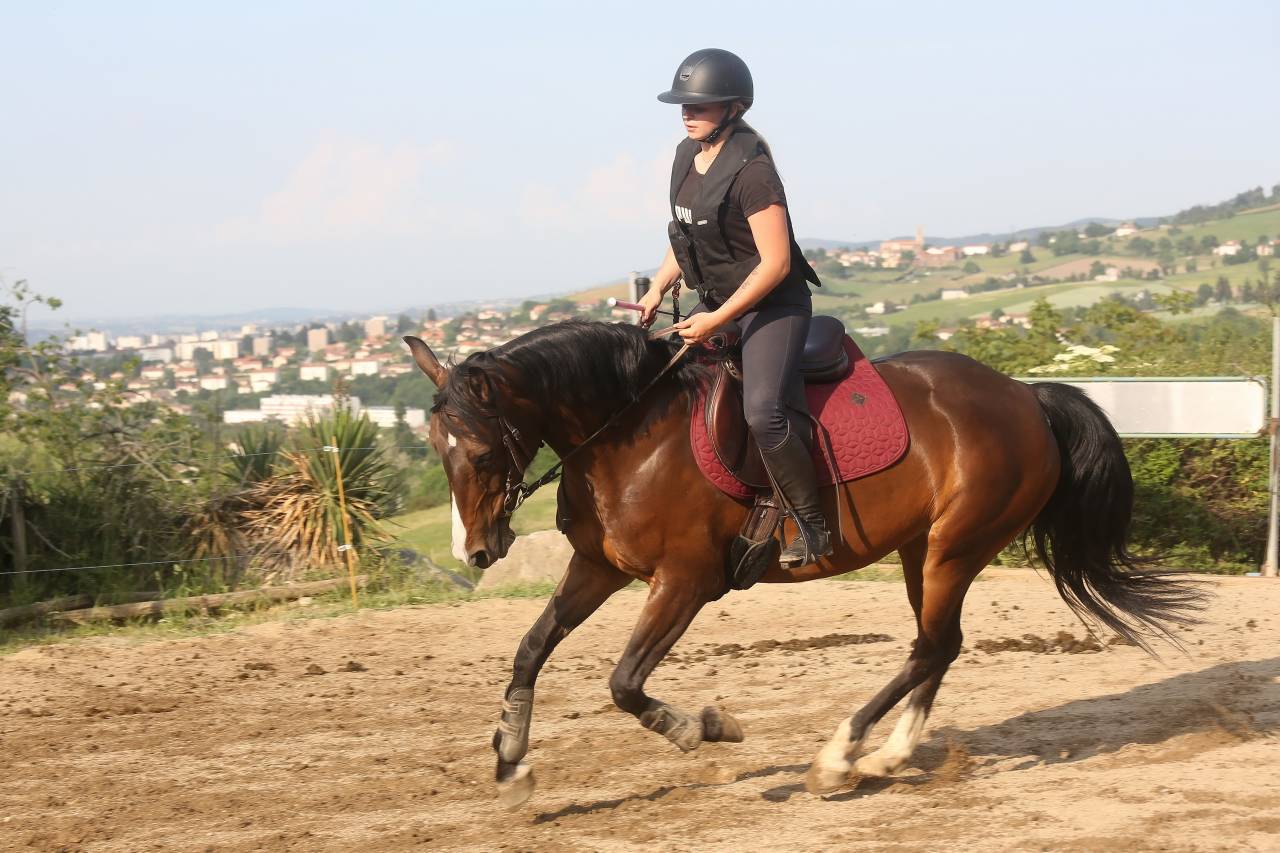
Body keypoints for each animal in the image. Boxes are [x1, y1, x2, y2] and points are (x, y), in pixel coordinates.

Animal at [403, 318, 1200, 808]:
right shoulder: (599, 568)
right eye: (435, 449)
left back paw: (840, 756)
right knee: (940, 645)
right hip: (924, 549)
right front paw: (511, 763)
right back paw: (886, 757)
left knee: (931, 645)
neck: (627, 436)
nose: (479, 551)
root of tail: (1026, 398)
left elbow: (625, 683)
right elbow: (531, 648)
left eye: (480, 452)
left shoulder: (686, 581)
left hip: (955, 545)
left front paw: (704, 728)